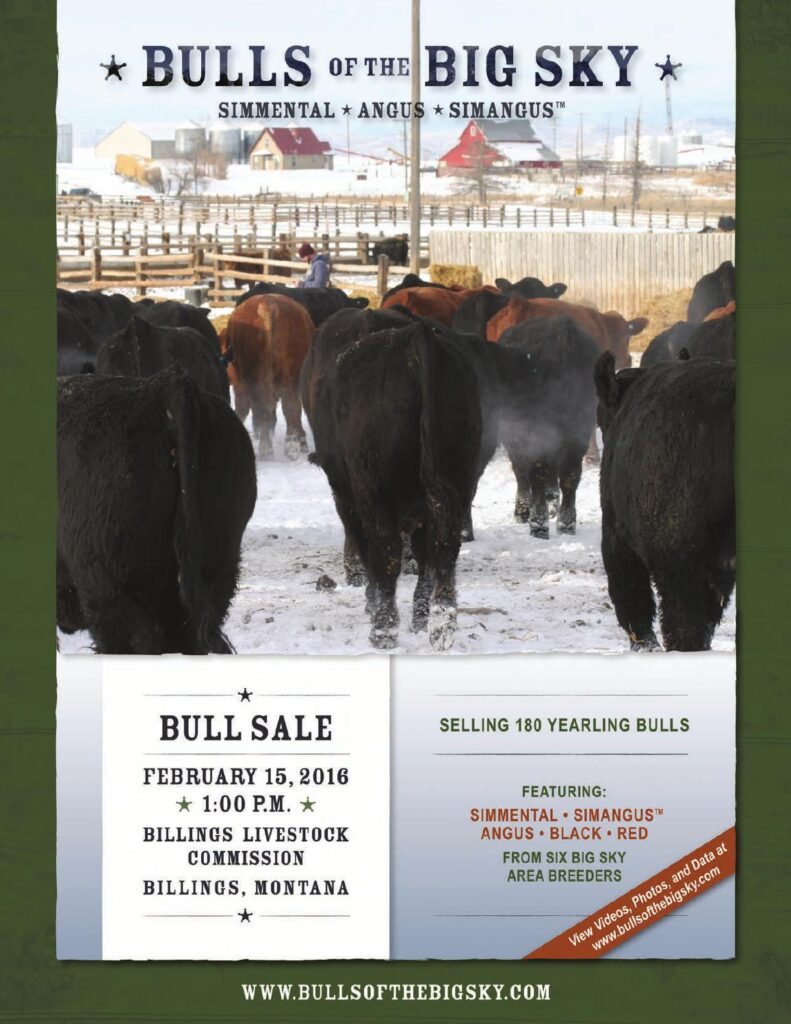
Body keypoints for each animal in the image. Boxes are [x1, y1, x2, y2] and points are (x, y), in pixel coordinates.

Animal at [223, 293, 314, 459]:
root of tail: (267, 301)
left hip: (258, 378)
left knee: (266, 407)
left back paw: (268, 448)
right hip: (289, 376)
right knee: (289, 407)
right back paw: (291, 447)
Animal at [309, 319, 482, 650]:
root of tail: (415, 335)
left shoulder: (349, 501)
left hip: (374, 491)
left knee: (386, 551)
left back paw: (384, 630)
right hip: (458, 482)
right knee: (442, 550)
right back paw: (440, 623)